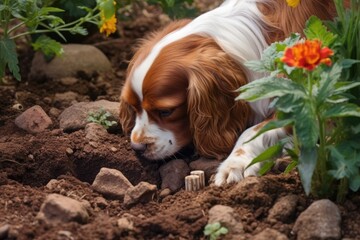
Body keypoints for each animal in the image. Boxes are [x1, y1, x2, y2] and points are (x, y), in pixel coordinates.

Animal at [117, 0, 344, 186]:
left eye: (166, 112)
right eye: (134, 107)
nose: (137, 148)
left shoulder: (302, 101)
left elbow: (252, 132)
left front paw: (235, 164)